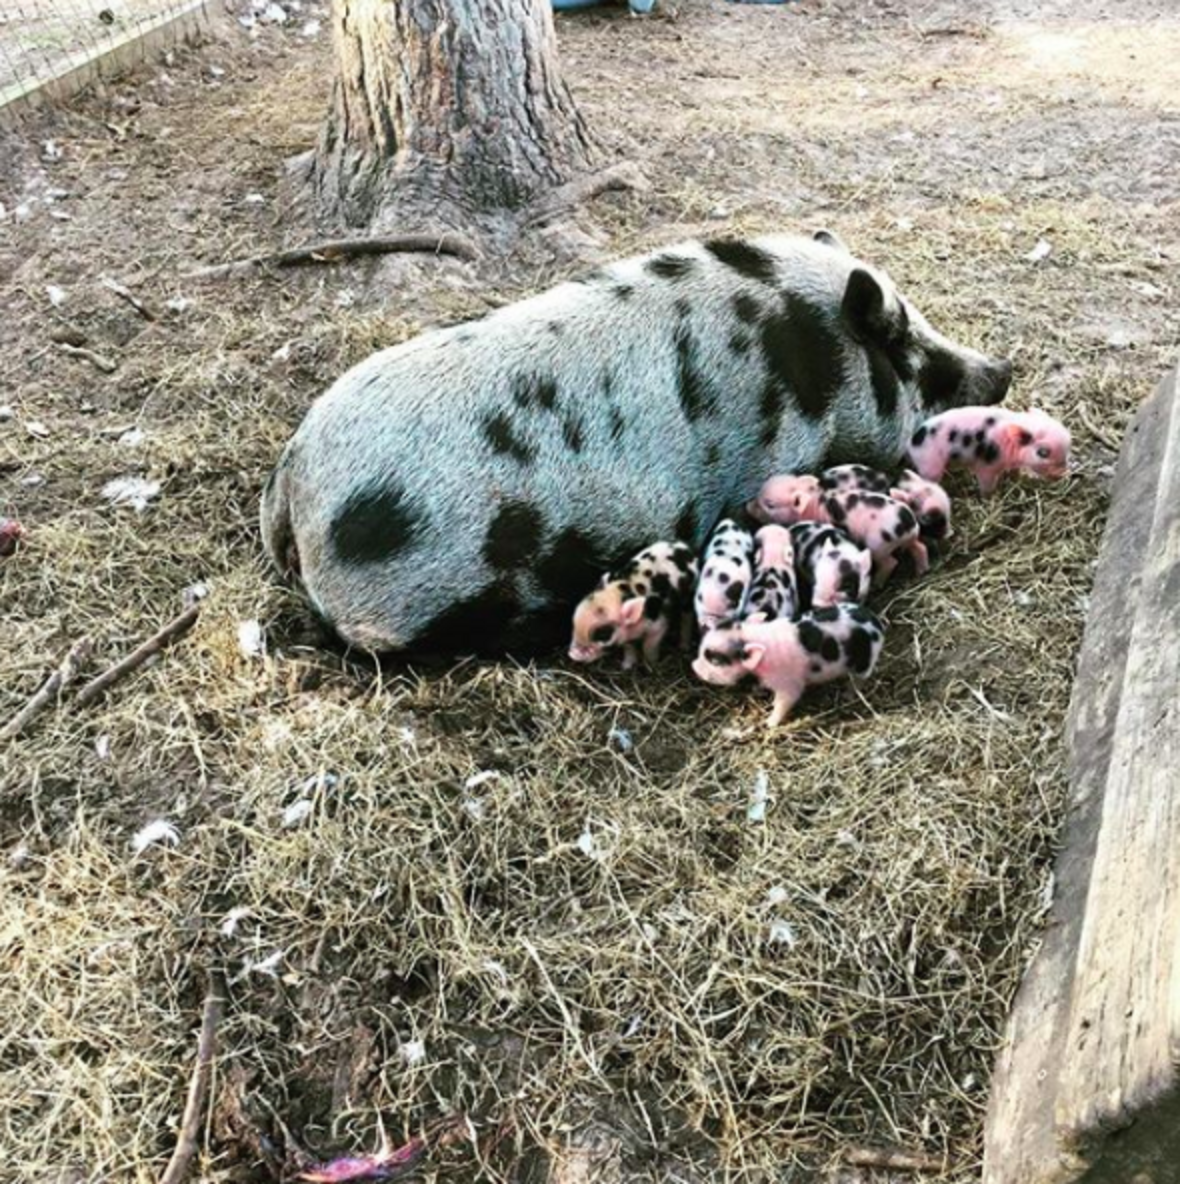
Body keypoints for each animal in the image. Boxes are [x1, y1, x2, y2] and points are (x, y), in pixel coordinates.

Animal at [569, 541, 697, 669]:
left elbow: (648, 647)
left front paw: (652, 663)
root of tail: (682, 545)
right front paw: (626, 667)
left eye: (604, 634)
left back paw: (684, 647)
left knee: (687, 616)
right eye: (574, 624)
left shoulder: (659, 624)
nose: (572, 654)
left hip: (689, 594)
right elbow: (629, 647)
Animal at [692, 602, 885, 727]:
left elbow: (784, 701)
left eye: (716, 660)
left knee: (858, 681)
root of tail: (877, 623)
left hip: (864, 664)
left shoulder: (789, 684)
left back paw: (847, 695)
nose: (693, 667)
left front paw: (769, 724)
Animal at [749, 480, 926, 585]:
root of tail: (909, 524)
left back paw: (877, 584)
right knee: (920, 548)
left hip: (879, 545)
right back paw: (920, 572)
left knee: (891, 562)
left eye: (770, 504)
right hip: (909, 540)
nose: (747, 506)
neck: (811, 507)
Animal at [907, 407, 1070, 495]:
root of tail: (912, 441)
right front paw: (990, 497)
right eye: (1043, 452)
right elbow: (986, 485)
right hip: (930, 465)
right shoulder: (986, 467)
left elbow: (1014, 472)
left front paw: (1016, 478)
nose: (1063, 473)